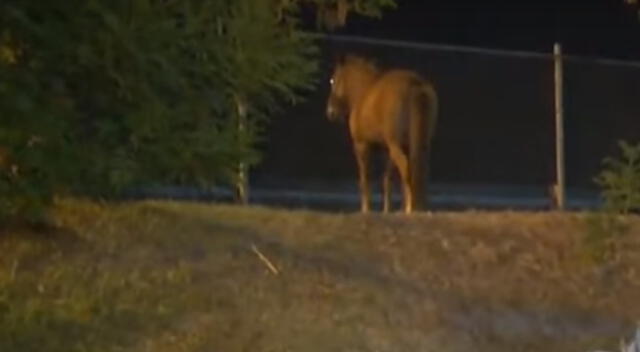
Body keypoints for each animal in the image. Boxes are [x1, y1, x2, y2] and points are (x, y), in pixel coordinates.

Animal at [328, 56, 438, 213]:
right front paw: (387, 210)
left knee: (405, 167)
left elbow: (365, 179)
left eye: (332, 80)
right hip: (419, 144)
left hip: (395, 145)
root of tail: (415, 84)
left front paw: (366, 209)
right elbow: (387, 179)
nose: (330, 111)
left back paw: (409, 208)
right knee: (419, 169)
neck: (363, 92)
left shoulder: (361, 146)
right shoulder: (387, 150)